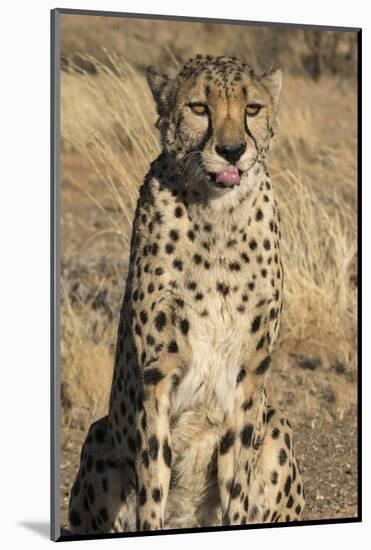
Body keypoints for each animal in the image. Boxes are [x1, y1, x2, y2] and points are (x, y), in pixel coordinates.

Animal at [69, 55, 306, 536]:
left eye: (252, 108)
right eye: (199, 107)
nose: (232, 150)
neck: (216, 213)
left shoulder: (248, 374)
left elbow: (238, 484)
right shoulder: (156, 373)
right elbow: (152, 481)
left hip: (276, 423)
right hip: (99, 437)